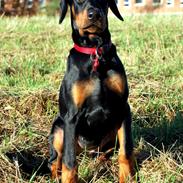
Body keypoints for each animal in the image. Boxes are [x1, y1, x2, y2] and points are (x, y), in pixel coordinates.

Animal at [48, 0, 134, 182]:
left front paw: (127, 177)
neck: (95, 52)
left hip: (111, 132)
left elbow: (126, 151)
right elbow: (69, 162)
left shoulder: (123, 108)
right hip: (59, 129)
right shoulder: (71, 116)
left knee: (105, 153)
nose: (94, 14)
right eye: (78, 1)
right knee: (54, 160)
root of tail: (87, 150)